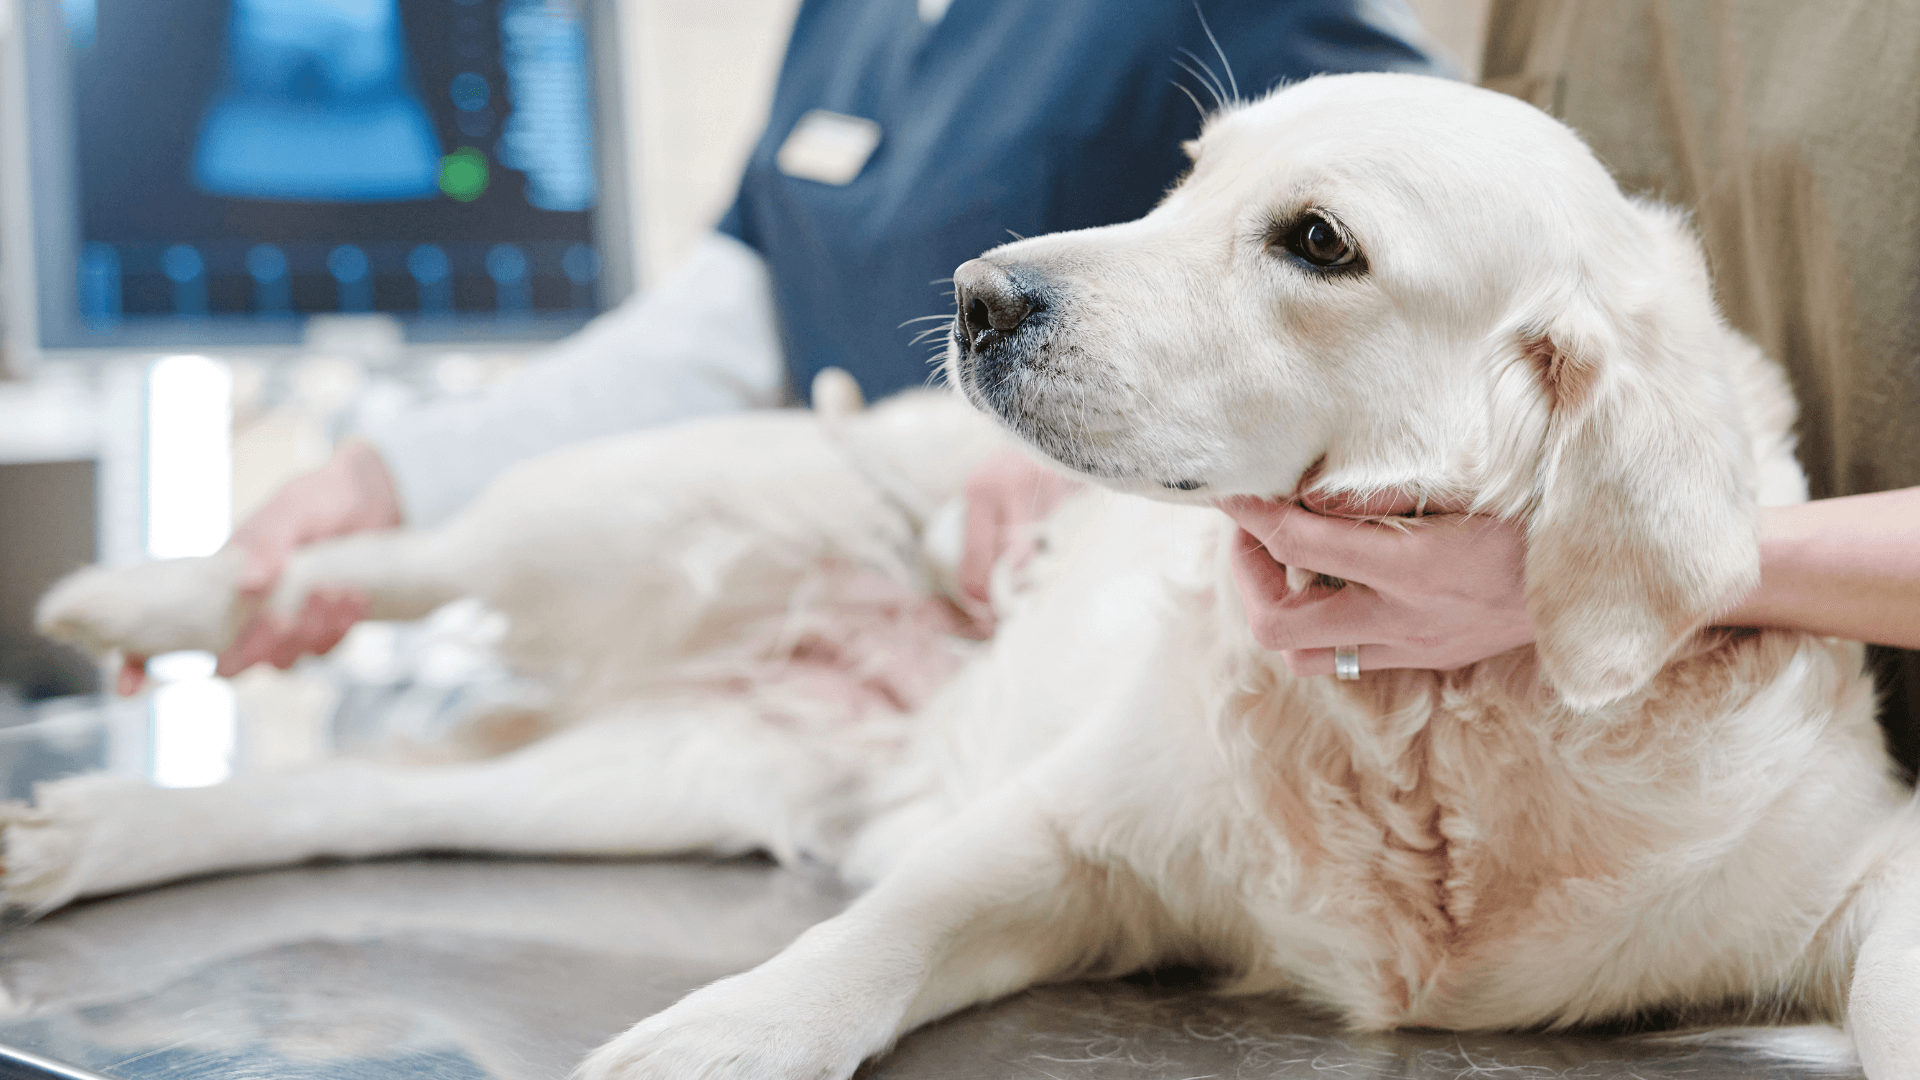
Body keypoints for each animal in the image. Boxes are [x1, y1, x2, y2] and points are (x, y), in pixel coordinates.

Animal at [18, 71, 1920, 1068]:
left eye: (1316, 242)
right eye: (1183, 181)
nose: (984, 293)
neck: (1430, 728)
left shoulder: (1855, 868)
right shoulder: (1068, 835)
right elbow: (865, 941)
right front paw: (717, 1035)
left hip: (644, 776)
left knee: (344, 797)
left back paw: (87, 831)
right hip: (643, 493)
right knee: (398, 555)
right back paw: (150, 600)